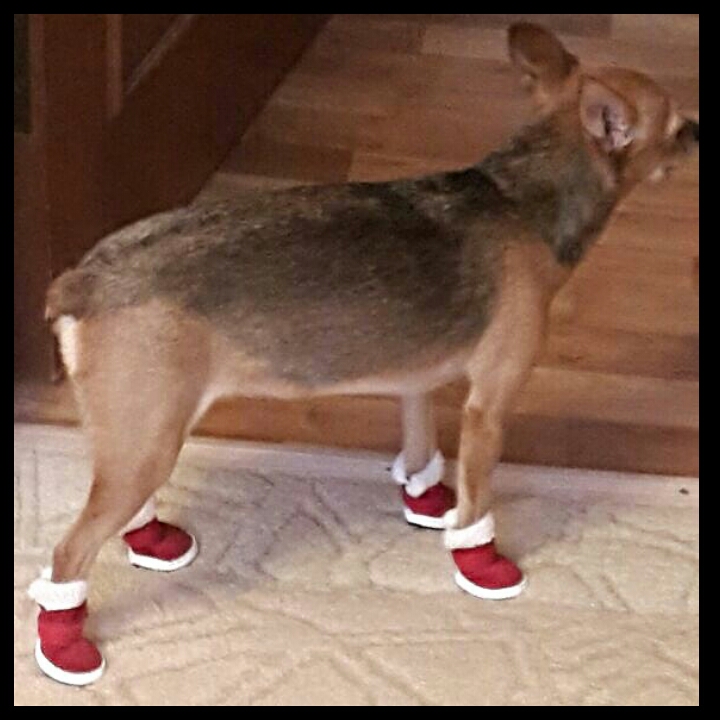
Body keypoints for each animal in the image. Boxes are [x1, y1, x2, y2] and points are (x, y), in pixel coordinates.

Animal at [28, 22, 699, 685]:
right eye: (673, 126)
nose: (698, 128)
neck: (522, 195)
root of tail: (82, 281)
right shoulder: (490, 405)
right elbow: (478, 493)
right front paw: (479, 559)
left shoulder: (416, 383)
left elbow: (422, 449)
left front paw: (427, 500)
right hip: (148, 439)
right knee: (69, 553)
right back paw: (66, 644)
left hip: (132, 430)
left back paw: (152, 540)